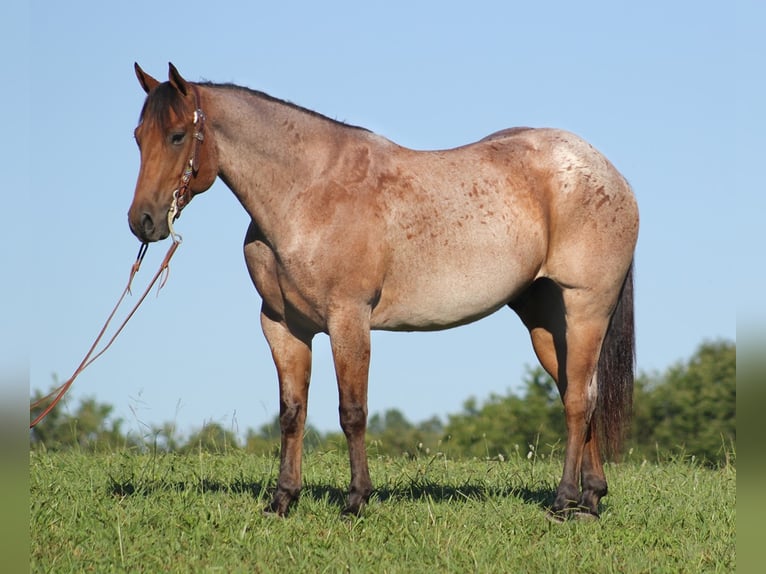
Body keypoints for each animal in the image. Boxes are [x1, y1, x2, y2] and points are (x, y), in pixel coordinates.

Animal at [129, 63, 640, 520]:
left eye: (177, 136)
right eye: (138, 136)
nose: (143, 221)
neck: (306, 191)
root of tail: (609, 173)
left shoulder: (348, 319)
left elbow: (352, 411)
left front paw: (356, 500)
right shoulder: (282, 327)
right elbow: (292, 413)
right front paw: (283, 501)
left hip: (585, 308)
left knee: (578, 401)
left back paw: (563, 501)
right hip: (546, 321)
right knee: (580, 391)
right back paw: (591, 499)